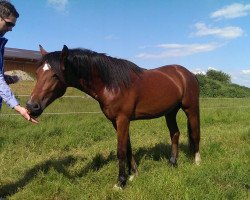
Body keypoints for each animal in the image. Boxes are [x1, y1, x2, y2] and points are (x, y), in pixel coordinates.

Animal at [26, 45, 200, 189]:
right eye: (37, 73)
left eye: (55, 75)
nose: (31, 106)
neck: (112, 84)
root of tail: (187, 73)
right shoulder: (116, 122)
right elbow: (128, 147)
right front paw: (133, 174)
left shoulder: (122, 119)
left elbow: (121, 150)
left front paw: (120, 182)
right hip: (170, 112)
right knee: (175, 134)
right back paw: (172, 163)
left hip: (191, 109)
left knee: (195, 134)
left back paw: (197, 162)